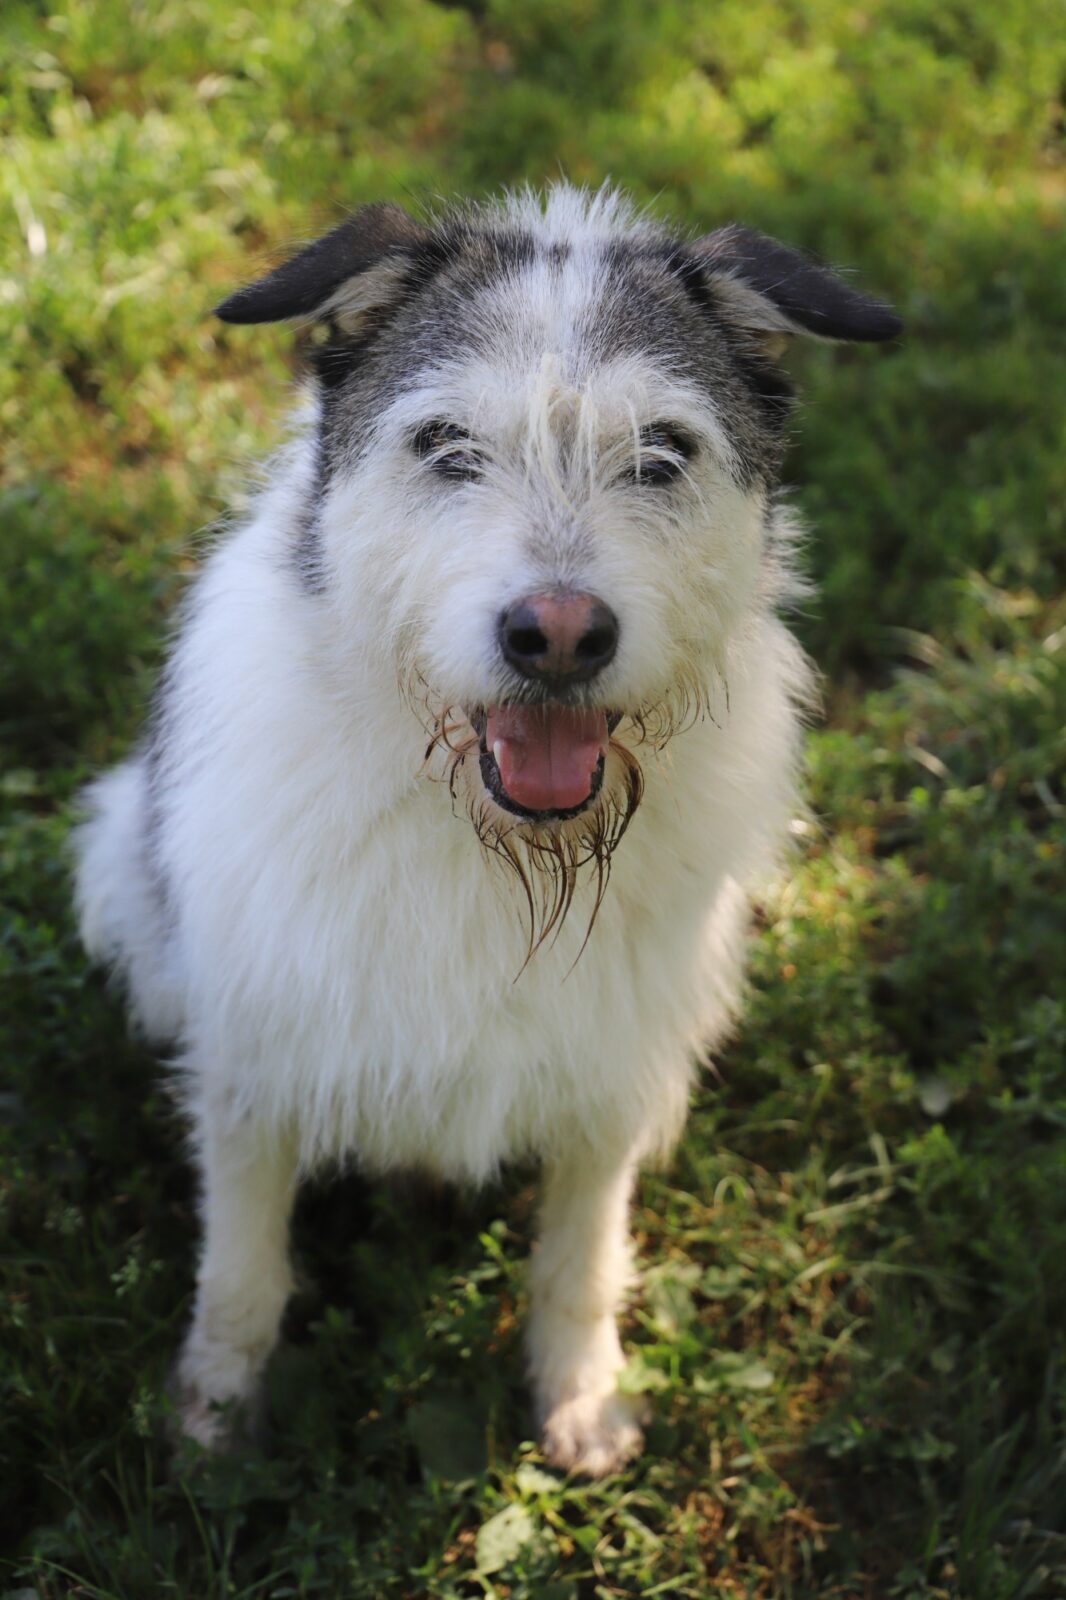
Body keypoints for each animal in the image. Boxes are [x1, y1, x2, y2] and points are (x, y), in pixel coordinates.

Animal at [72, 184, 896, 1472]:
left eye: (662, 453)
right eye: (447, 445)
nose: (556, 635)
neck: (493, 846)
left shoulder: (611, 1067)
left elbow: (579, 1253)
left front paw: (581, 1393)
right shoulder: (255, 1056)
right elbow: (243, 1261)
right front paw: (214, 1415)